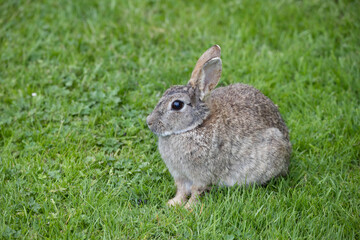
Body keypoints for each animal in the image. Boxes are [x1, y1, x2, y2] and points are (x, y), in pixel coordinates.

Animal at [146, 46, 292, 209]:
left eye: (177, 105)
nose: (149, 122)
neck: (196, 125)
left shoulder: (202, 175)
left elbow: (196, 190)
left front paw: (189, 208)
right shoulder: (180, 175)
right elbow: (181, 190)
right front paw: (172, 204)